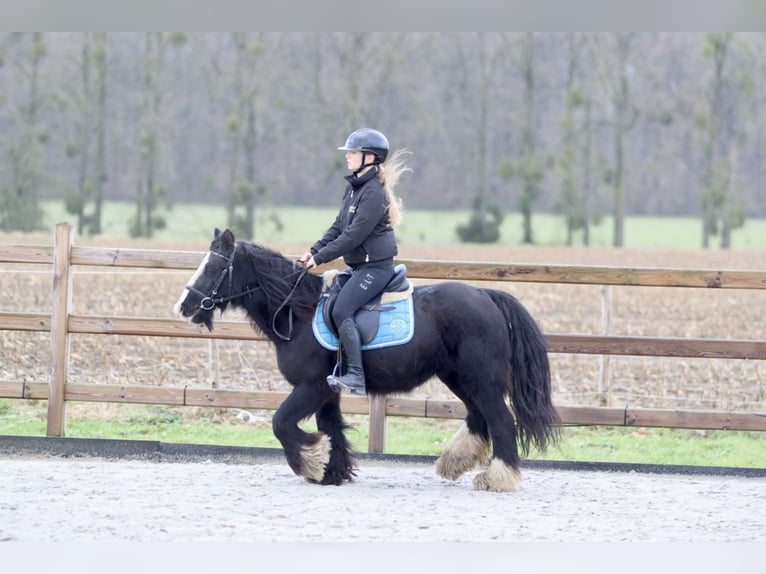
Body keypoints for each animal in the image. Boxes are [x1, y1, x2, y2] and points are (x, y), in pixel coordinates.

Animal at [176, 232, 560, 492]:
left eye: (213, 266)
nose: (183, 306)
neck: (297, 312)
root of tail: (486, 295)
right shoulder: (326, 391)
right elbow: (331, 428)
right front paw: (331, 472)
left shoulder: (309, 387)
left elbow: (281, 423)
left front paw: (311, 463)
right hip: (460, 377)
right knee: (479, 416)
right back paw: (455, 462)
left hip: (480, 379)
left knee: (501, 420)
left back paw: (498, 478)